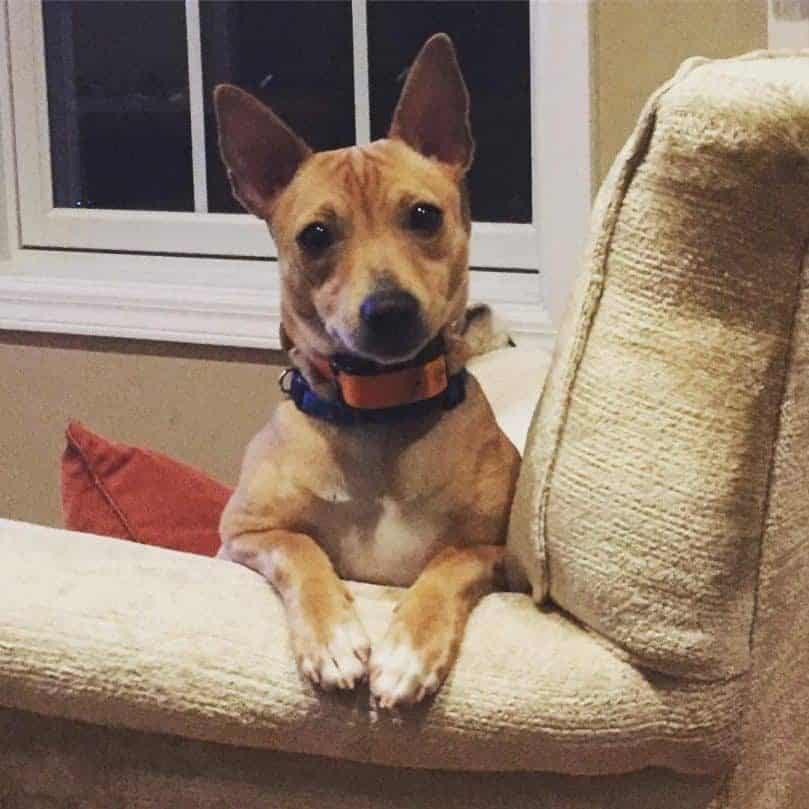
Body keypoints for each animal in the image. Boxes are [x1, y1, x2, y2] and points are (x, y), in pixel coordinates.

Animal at [215, 33, 516, 708]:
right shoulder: (242, 535)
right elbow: (299, 548)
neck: (381, 409)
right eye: (315, 235)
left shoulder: (496, 553)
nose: (389, 311)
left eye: (424, 216)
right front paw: (331, 637)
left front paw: (407, 651)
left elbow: (450, 564)